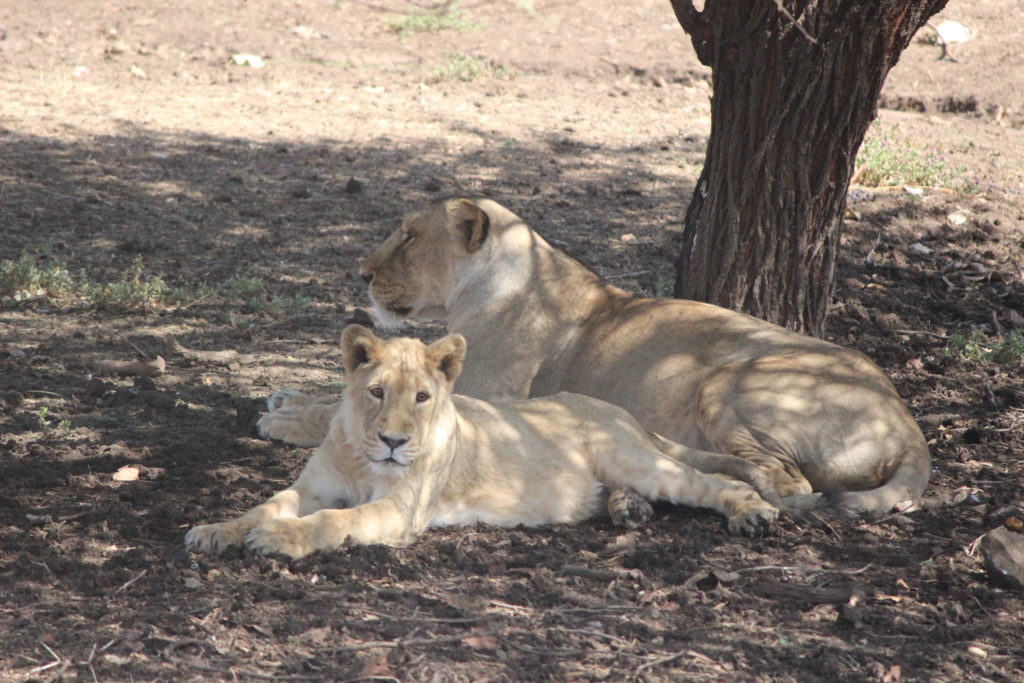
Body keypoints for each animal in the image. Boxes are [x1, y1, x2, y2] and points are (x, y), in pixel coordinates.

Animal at [186, 326, 778, 558]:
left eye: (422, 397)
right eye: (376, 392)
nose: (395, 441)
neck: (362, 456)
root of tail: (614, 409)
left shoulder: (401, 510)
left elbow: (335, 520)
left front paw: (279, 538)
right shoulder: (309, 487)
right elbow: (262, 506)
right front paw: (216, 531)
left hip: (636, 459)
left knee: (712, 481)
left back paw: (753, 514)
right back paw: (627, 509)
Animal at [264, 198, 931, 518]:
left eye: (408, 235)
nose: (363, 272)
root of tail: (908, 423)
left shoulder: (478, 399)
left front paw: (284, 416)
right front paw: (290, 396)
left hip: (728, 381)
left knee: (785, 483)